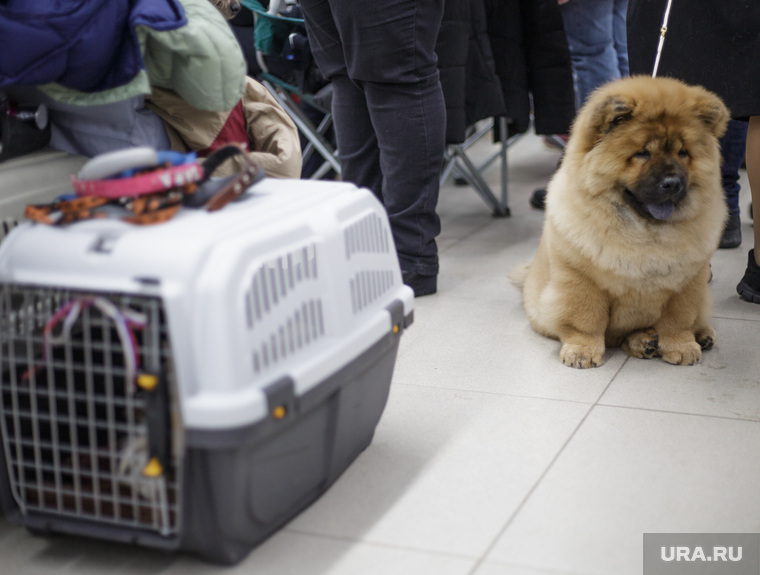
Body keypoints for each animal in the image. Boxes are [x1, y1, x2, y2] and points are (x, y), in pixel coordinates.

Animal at [510, 75, 732, 368]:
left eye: (683, 152)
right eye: (643, 153)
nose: (673, 182)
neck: (644, 231)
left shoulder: (687, 282)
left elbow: (678, 320)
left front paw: (682, 347)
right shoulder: (581, 279)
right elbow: (585, 319)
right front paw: (582, 352)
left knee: (694, 319)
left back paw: (698, 336)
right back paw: (645, 342)